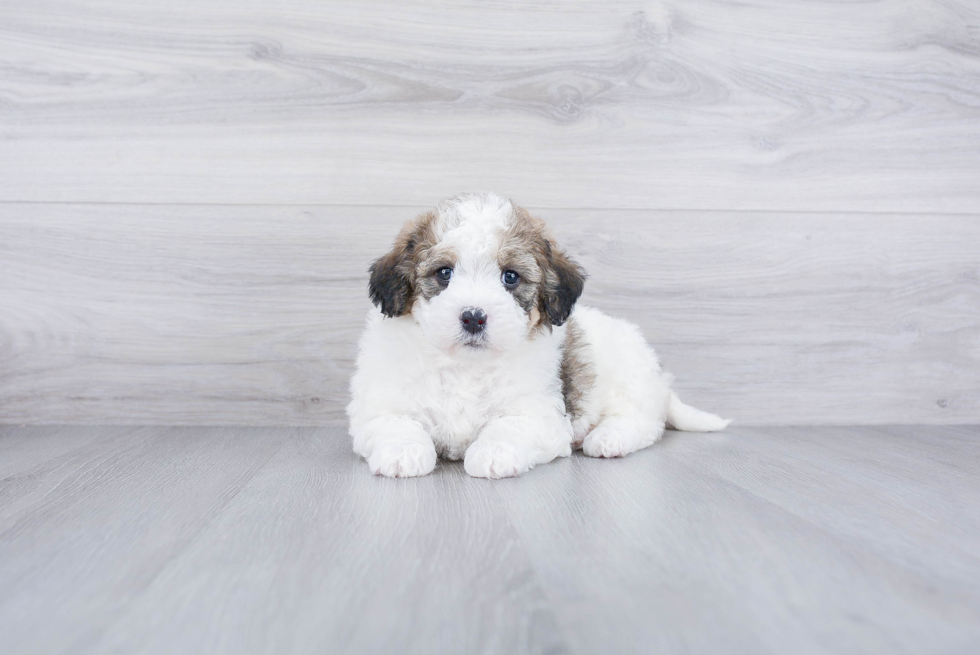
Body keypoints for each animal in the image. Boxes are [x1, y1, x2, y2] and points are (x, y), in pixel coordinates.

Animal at [348, 192, 732, 480]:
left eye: (510, 277)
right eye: (444, 273)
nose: (473, 317)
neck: (466, 366)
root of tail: (659, 382)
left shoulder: (539, 412)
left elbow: (511, 425)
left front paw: (494, 452)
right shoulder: (380, 404)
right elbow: (395, 423)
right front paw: (402, 452)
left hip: (629, 377)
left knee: (643, 422)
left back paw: (608, 439)